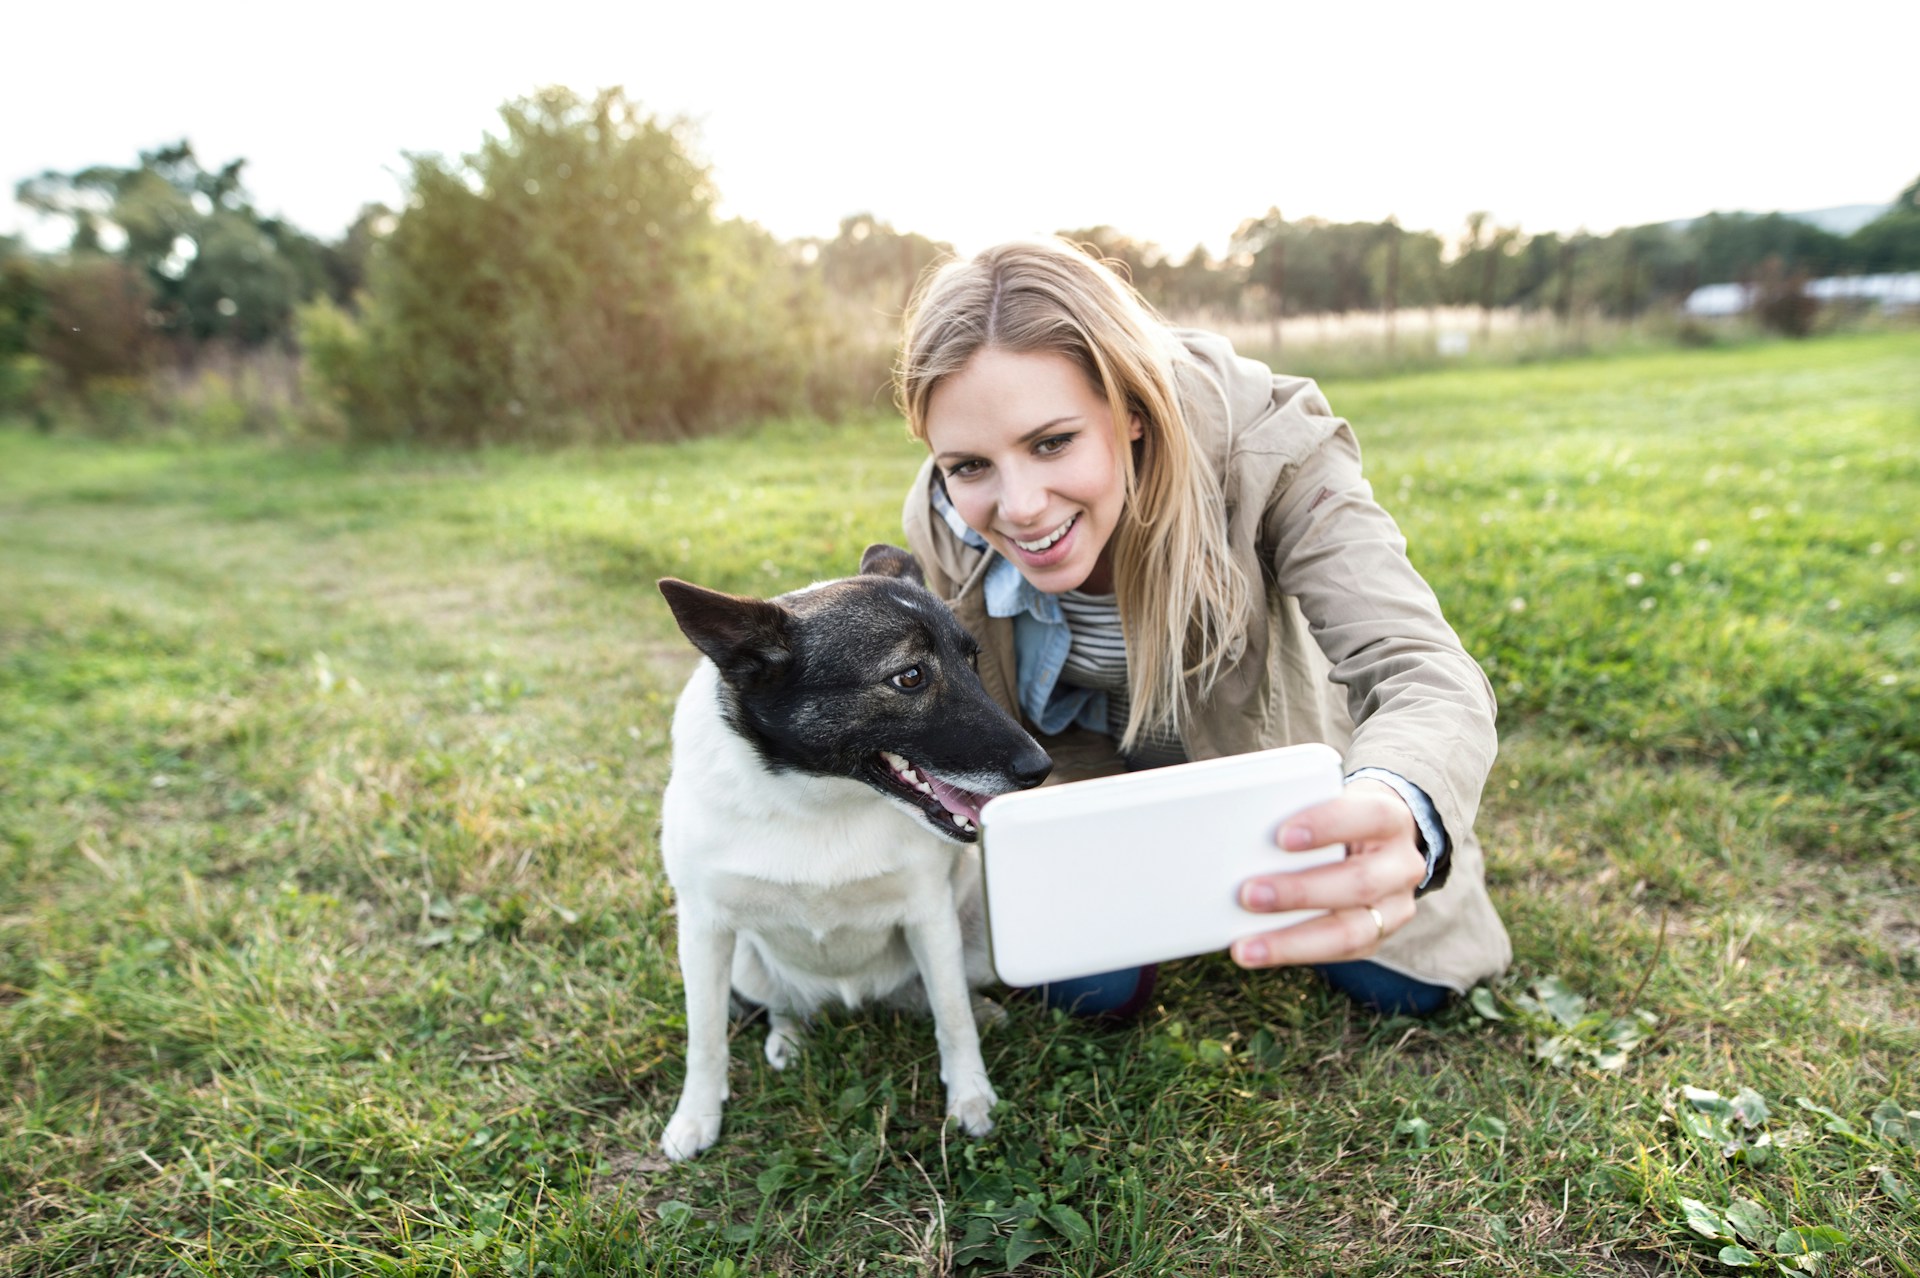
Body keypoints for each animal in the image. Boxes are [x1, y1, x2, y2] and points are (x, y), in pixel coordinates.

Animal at [656, 541, 1052, 1159]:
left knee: (932, 995)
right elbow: (705, 1038)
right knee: (784, 1003)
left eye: (973, 660)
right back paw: (788, 1037)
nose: (1041, 768)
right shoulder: (704, 932)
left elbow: (952, 1016)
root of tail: (855, 998)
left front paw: (970, 1096)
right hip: (746, 963)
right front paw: (696, 1117)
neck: (819, 799)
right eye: (910, 676)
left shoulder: (929, 917)